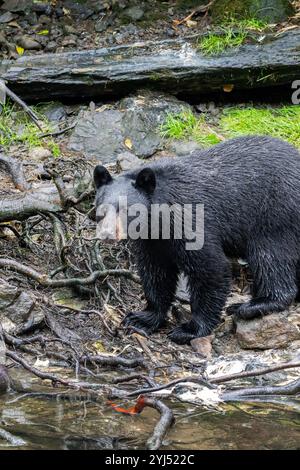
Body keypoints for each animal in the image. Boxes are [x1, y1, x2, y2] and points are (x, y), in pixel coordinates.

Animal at [95, 136, 300, 346]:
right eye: (101, 208)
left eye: (127, 209)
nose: (107, 234)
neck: (160, 220)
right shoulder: (152, 241)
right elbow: (156, 273)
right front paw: (143, 318)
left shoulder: (190, 222)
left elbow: (210, 269)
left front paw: (190, 329)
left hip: (274, 213)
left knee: (270, 257)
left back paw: (253, 305)